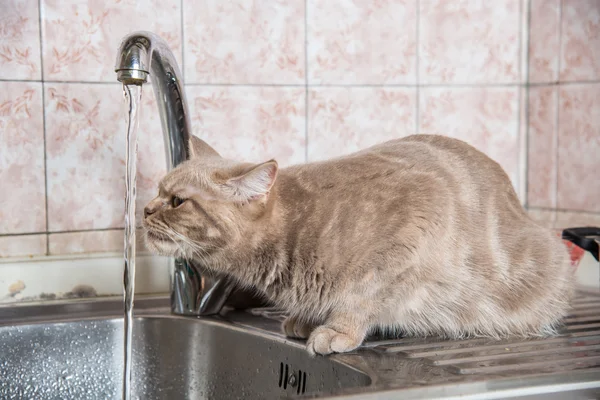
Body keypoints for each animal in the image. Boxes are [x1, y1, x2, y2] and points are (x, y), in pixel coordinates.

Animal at [143, 135, 576, 356]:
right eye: (158, 190)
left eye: (177, 201)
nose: (145, 210)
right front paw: (308, 317)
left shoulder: (417, 217)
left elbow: (362, 295)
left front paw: (337, 328)